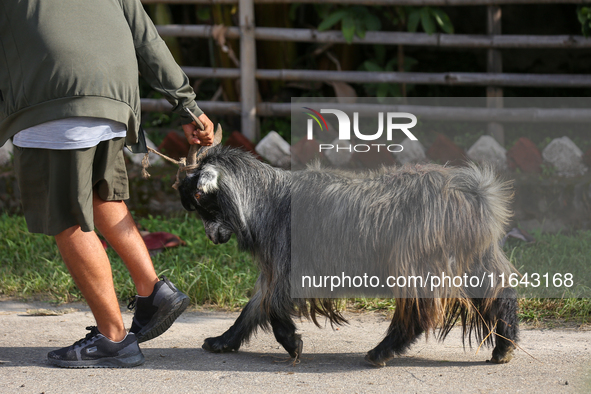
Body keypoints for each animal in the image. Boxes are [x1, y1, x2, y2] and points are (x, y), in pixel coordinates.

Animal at [179, 139, 520, 366]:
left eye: (203, 200)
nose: (213, 237)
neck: (268, 201)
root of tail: (475, 194)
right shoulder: (275, 268)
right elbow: (254, 307)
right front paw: (222, 341)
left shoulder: (290, 265)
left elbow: (273, 306)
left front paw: (293, 344)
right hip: (474, 258)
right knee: (499, 292)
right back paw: (504, 347)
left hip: (419, 259)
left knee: (419, 310)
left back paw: (381, 352)